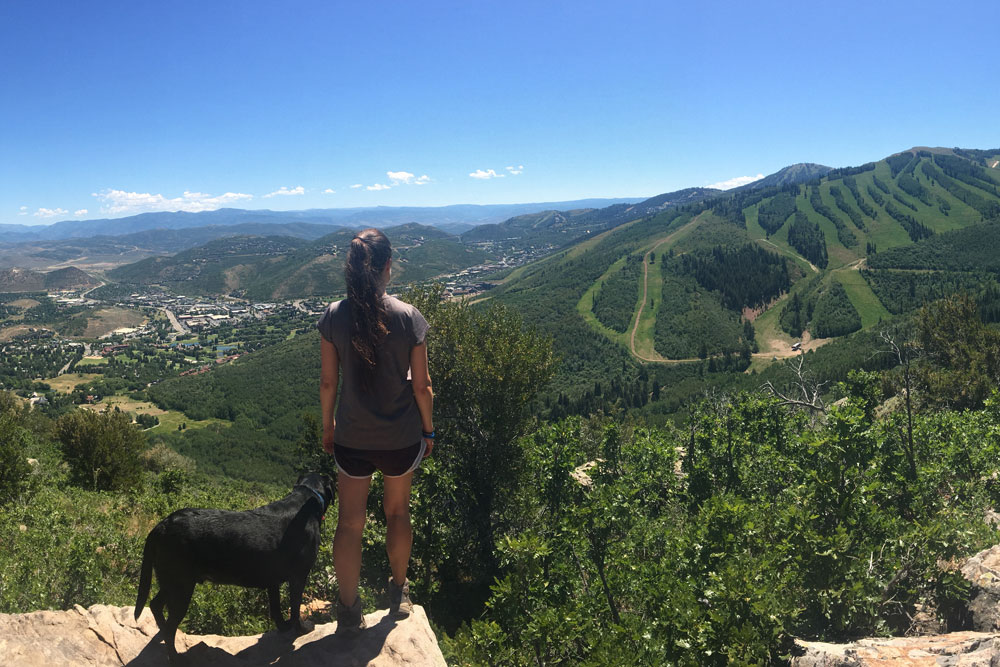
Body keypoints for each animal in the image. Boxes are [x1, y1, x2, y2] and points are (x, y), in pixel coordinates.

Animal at [133, 472, 338, 660]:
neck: (305, 501)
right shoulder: (299, 575)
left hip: (172, 580)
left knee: (156, 605)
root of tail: (161, 526)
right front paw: (302, 629)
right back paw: (177, 658)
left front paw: (283, 626)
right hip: (181, 587)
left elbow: (276, 608)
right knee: (170, 628)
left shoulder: (273, 580)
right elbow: (295, 608)